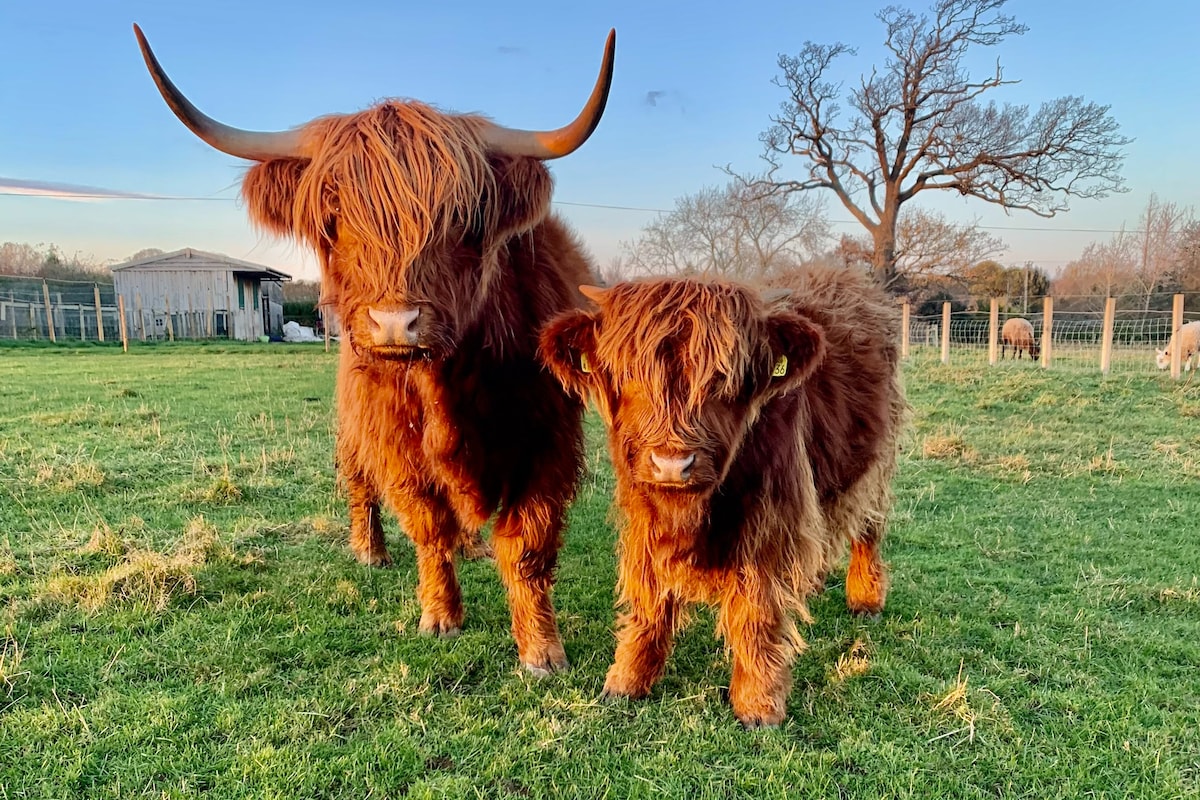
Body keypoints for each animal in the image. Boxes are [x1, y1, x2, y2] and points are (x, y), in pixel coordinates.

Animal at [136, 25, 614, 676]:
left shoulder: (547, 439)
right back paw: (371, 550)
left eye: (463, 219)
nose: (395, 324)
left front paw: (542, 650)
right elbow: (427, 524)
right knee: (357, 481)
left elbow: (526, 544)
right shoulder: (393, 439)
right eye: (334, 217)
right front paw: (441, 616)